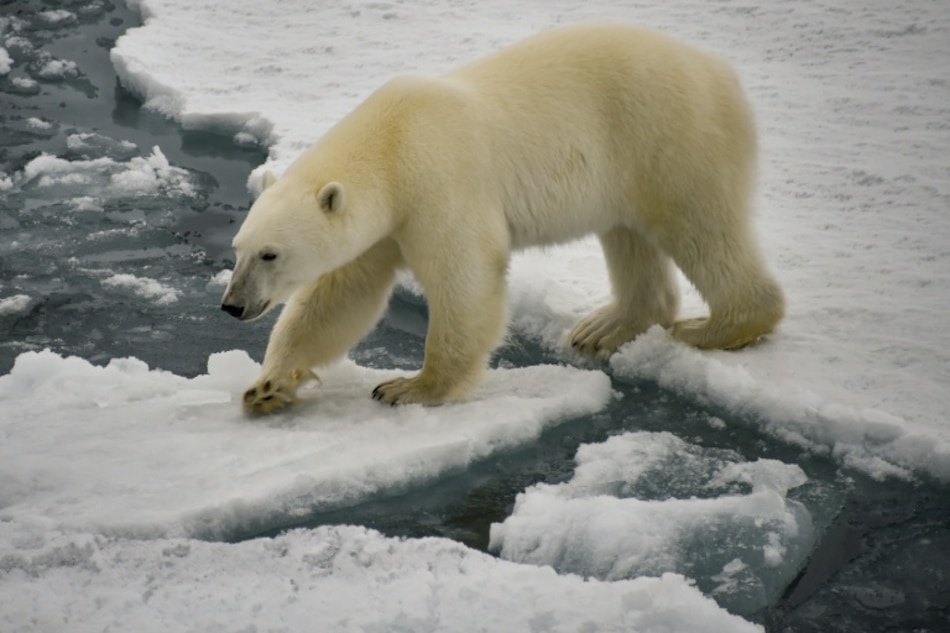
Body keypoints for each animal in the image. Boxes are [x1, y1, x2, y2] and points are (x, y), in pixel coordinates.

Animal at [220, 24, 784, 413]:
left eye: (271, 254)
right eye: (238, 250)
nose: (231, 306)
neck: (392, 142)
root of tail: (721, 71)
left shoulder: (439, 184)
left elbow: (465, 278)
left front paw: (410, 387)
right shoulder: (384, 224)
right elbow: (340, 296)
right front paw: (267, 386)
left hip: (669, 136)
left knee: (700, 227)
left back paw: (713, 327)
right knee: (629, 237)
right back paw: (603, 328)